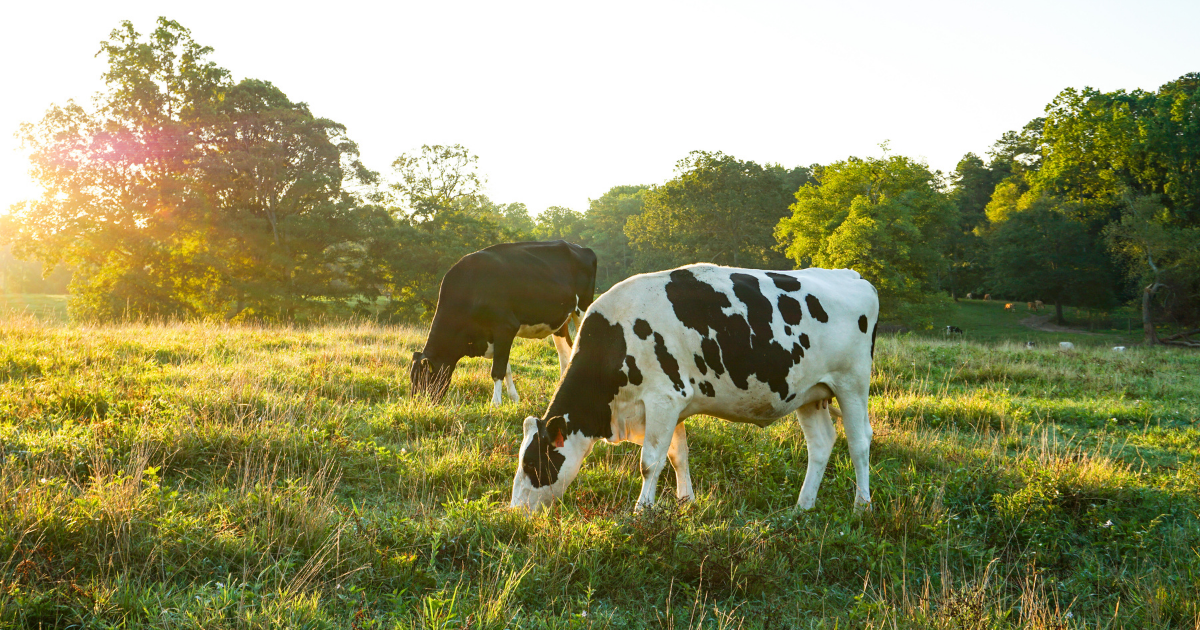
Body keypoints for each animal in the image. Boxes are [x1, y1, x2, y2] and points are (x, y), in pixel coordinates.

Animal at [412, 238, 600, 405]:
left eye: (424, 379)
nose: (419, 405)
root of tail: (581, 248)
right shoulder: (497, 335)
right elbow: (506, 367)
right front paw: (514, 398)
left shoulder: (505, 327)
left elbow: (497, 370)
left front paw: (495, 403)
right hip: (560, 321)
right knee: (566, 354)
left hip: (583, 309)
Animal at [508, 262, 883, 513]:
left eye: (532, 464)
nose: (515, 512)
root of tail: (850, 276)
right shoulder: (673, 404)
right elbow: (677, 456)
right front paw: (685, 500)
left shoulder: (662, 399)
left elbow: (650, 461)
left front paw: (641, 511)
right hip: (810, 393)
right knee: (821, 444)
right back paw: (802, 507)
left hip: (852, 383)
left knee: (859, 442)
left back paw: (861, 505)